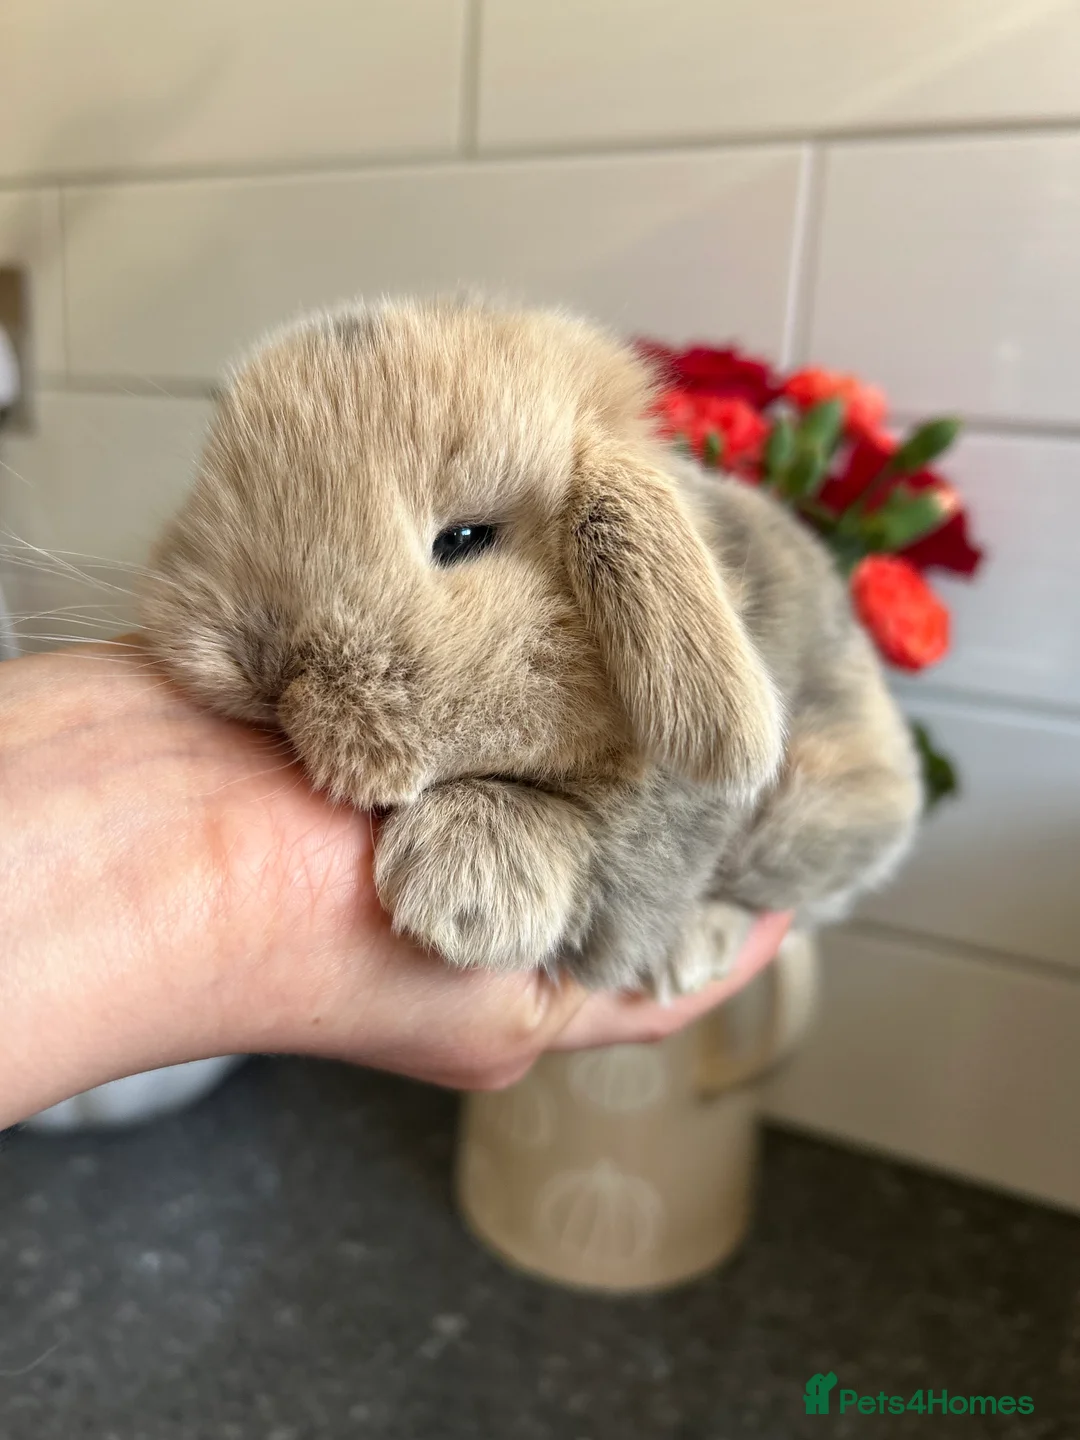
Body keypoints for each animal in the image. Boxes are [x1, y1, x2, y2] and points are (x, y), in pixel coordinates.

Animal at [139, 296, 923, 997]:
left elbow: (592, 845)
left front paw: (458, 890)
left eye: (464, 538)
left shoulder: (655, 835)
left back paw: (695, 950)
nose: (263, 667)